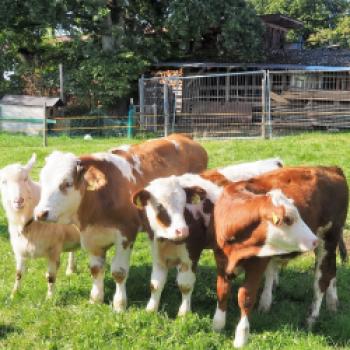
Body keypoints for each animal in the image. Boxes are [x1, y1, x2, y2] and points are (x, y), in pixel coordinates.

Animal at [0, 154, 80, 300]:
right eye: (3, 182)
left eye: (26, 178)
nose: (18, 201)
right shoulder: (19, 249)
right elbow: (18, 273)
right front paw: (14, 294)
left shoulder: (54, 249)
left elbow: (51, 277)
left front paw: (49, 298)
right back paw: (70, 269)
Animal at [33, 134, 208, 312]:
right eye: (42, 181)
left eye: (67, 183)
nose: (40, 213)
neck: (100, 197)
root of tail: (182, 136)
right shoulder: (90, 237)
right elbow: (95, 269)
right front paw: (95, 299)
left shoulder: (126, 235)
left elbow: (119, 272)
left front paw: (119, 305)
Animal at [131, 159, 282, 314]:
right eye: (160, 206)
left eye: (184, 204)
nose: (182, 230)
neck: (167, 241)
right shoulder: (157, 253)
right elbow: (155, 284)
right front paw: (151, 309)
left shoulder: (191, 253)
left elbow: (185, 284)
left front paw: (184, 312)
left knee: (270, 271)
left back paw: (265, 301)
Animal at [213, 167, 348, 348]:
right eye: (288, 219)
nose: (313, 239)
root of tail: (331, 168)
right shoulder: (221, 260)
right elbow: (222, 290)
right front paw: (218, 325)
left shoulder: (257, 264)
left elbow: (245, 297)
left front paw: (241, 337)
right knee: (331, 272)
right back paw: (332, 303)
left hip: (329, 237)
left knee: (322, 279)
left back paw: (311, 318)